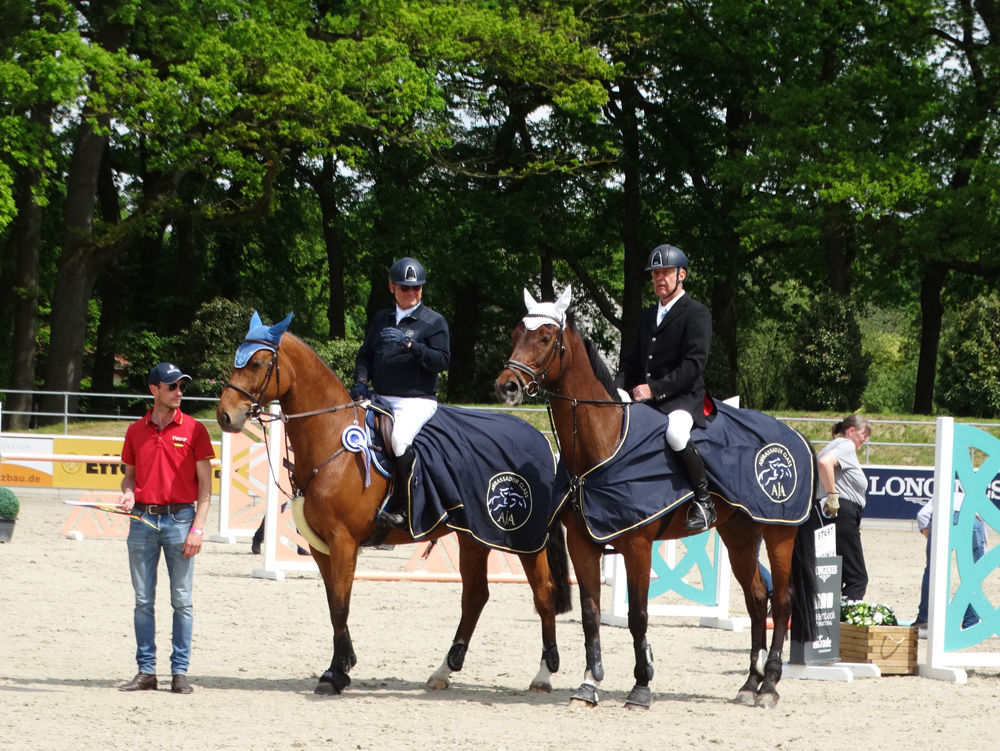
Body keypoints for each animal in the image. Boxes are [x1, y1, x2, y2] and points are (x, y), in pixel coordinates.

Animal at [216, 313, 571, 696]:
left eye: (257, 363)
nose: (224, 415)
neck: (331, 437)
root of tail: (536, 437)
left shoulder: (343, 541)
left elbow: (340, 604)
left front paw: (336, 673)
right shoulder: (321, 546)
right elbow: (333, 604)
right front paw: (342, 665)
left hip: (526, 540)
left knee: (544, 593)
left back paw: (543, 675)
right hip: (474, 537)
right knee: (475, 596)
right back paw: (444, 670)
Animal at [495, 287, 819, 710]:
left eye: (546, 338)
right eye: (517, 333)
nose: (506, 386)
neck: (602, 443)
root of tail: (792, 433)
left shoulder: (637, 545)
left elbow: (639, 616)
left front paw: (641, 687)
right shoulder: (582, 543)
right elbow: (590, 615)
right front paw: (588, 686)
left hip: (780, 531)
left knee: (780, 601)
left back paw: (770, 687)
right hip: (740, 534)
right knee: (756, 598)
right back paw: (750, 684)